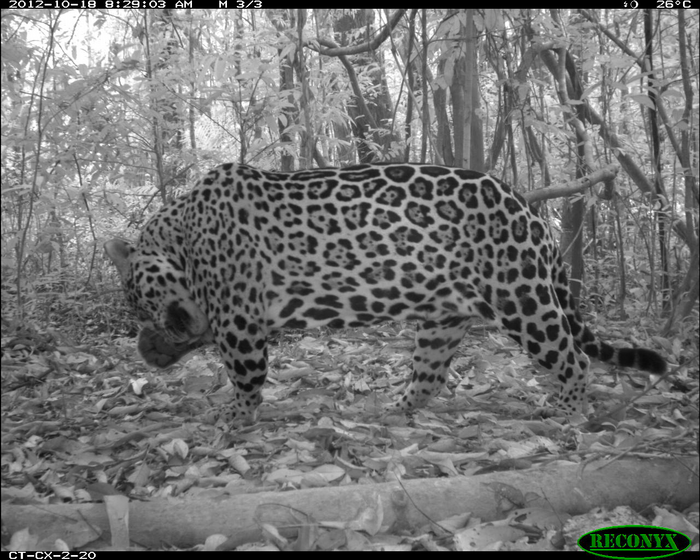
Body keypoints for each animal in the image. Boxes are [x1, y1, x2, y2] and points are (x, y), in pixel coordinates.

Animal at [105, 163, 666, 423]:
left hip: (521, 298)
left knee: (575, 357)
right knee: (430, 373)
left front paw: (235, 418)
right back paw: (396, 409)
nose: (147, 347)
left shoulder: (239, 322)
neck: (181, 235)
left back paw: (567, 411)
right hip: (443, 316)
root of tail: (529, 209)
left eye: (137, 299)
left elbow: (245, 376)